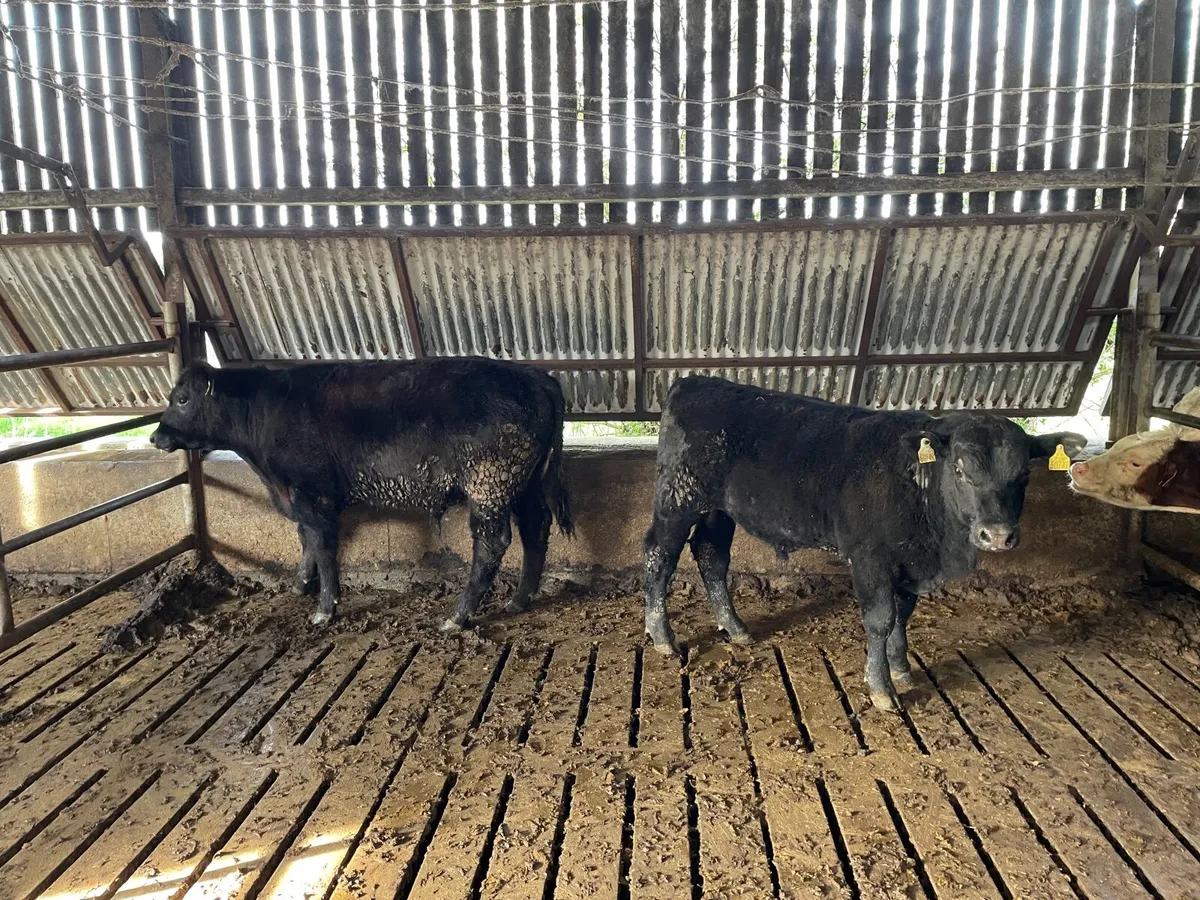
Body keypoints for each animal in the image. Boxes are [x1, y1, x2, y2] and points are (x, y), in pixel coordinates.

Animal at [150, 357, 573, 632]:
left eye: (182, 399)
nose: (156, 436)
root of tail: (534, 375)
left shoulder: (313, 493)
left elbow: (322, 545)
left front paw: (325, 607)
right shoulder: (303, 497)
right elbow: (306, 539)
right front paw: (301, 583)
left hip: (490, 483)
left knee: (492, 543)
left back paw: (458, 616)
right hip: (524, 484)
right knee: (535, 530)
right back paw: (519, 600)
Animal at [642, 376, 1086, 712]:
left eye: (1024, 475)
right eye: (960, 470)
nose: (996, 534)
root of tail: (697, 381)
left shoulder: (910, 561)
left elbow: (904, 615)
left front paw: (902, 668)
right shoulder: (870, 556)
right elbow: (881, 620)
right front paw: (882, 689)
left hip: (718, 509)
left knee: (711, 555)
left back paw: (735, 628)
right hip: (677, 498)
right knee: (659, 555)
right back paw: (663, 637)